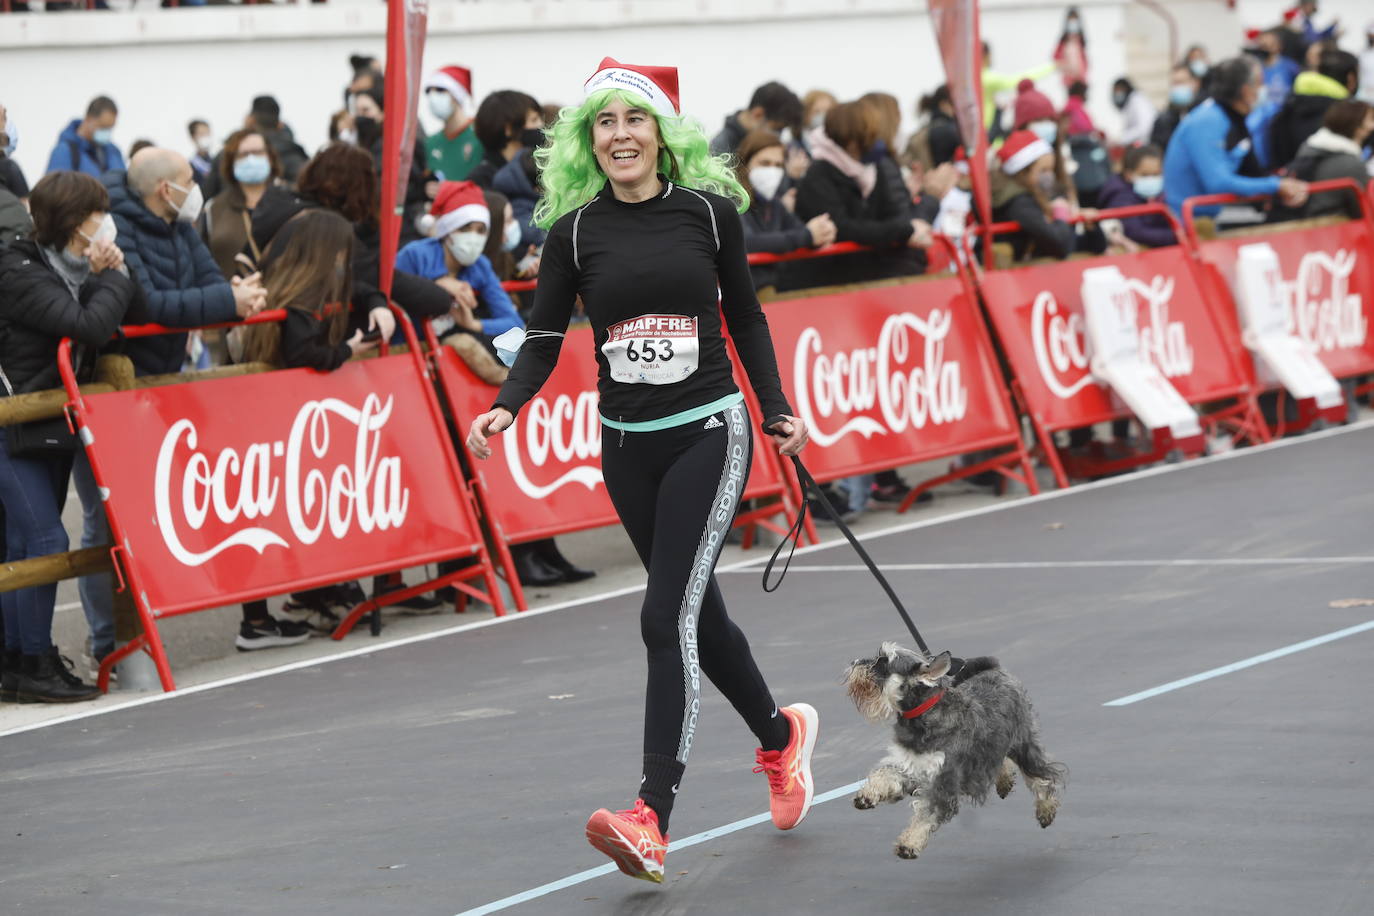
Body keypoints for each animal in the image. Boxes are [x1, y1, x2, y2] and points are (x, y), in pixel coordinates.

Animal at [840, 645, 1066, 862]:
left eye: (884, 660)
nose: (853, 662)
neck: (923, 717)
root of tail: (992, 668)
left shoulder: (944, 781)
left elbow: (926, 813)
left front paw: (909, 844)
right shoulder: (910, 766)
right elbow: (884, 774)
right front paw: (866, 796)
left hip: (1024, 745)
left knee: (1042, 777)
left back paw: (1046, 811)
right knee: (1001, 761)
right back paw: (1004, 781)